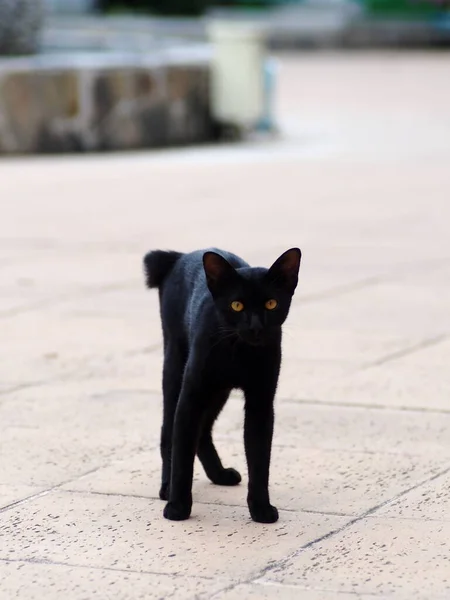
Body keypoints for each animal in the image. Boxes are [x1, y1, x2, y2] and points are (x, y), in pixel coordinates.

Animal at [142, 246, 300, 524]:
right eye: (236, 305)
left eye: (271, 304)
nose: (255, 327)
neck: (239, 351)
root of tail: (179, 256)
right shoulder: (191, 394)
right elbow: (182, 453)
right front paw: (177, 507)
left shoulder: (261, 401)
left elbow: (259, 458)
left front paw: (261, 509)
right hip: (175, 367)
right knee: (169, 431)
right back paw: (166, 488)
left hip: (217, 391)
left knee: (203, 431)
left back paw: (219, 474)